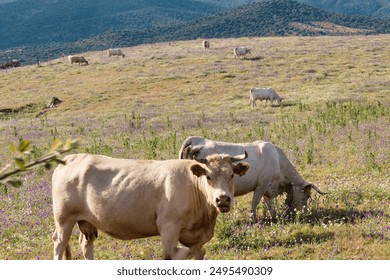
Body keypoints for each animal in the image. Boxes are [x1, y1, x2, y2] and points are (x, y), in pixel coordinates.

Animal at [51, 152, 250, 260]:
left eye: (232, 175)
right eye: (208, 176)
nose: (222, 199)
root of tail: (72, 157)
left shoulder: (197, 235)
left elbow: (198, 252)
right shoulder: (169, 227)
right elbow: (174, 255)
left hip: (87, 221)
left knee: (86, 244)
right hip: (64, 219)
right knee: (59, 244)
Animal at [180, 137, 326, 222]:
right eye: (307, 195)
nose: (305, 213)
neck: (277, 160)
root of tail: (196, 140)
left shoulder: (268, 188)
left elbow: (269, 203)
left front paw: (274, 217)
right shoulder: (261, 185)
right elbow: (255, 201)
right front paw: (253, 218)